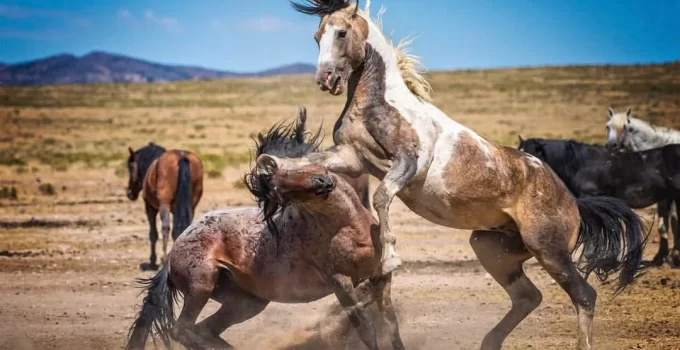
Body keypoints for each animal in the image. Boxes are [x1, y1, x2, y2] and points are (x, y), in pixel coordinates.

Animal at [126, 142, 203, 270]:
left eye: (130, 167)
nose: (129, 194)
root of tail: (182, 156)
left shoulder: (150, 208)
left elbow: (153, 233)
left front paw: (152, 261)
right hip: (192, 205)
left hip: (164, 205)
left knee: (165, 228)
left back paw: (163, 260)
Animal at [254, 1, 648, 348]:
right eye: (316, 36)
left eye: (341, 32)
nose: (326, 79)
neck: (382, 104)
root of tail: (573, 202)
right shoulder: (351, 158)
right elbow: (305, 162)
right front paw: (267, 168)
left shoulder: (407, 162)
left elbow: (382, 197)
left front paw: (390, 256)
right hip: (492, 248)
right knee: (528, 297)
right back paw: (489, 343)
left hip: (549, 251)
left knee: (584, 296)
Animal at [604, 106, 680, 266]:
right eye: (607, 126)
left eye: (626, 127)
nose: (611, 146)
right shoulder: (664, 198)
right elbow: (663, 225)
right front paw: (661, 256)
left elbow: (674, 222)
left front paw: (675, 255)